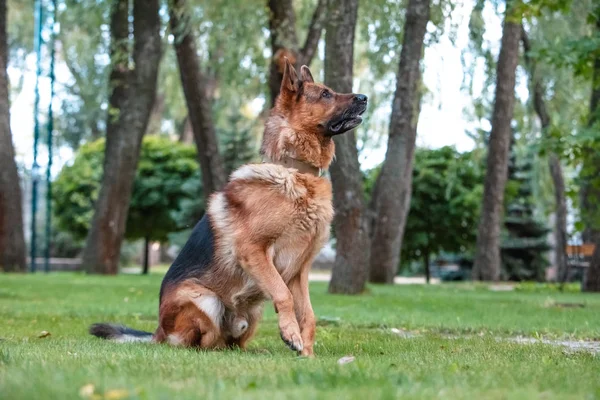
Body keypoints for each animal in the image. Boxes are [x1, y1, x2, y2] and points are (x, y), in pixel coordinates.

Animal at [90, 58, 366, 356]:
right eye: (326, 94)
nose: (364, 98)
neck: (295, 170)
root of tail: (157, 333)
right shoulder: (253, 251)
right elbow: (283, 295)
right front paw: (291, 335)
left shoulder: (299, 272)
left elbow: (309, 314)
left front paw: (307, 353)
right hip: (205, 299)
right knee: (198, 342)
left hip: (254, 311)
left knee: (231, 343)